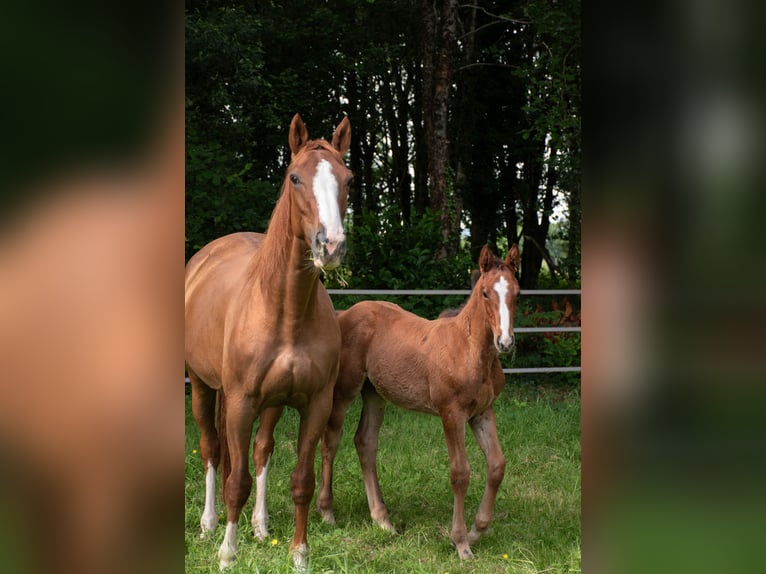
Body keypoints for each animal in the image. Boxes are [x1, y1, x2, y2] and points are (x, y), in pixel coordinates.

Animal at [185, 113, 351, 570]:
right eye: (294, 177)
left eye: (347, 178)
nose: (331, 245)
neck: (286, 311)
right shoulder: (240, 402)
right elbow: (235, 481)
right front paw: (227, 553)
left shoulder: (315, 404)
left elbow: (301, 480)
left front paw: (299, 554)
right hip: (204, 388)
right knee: (212, 449)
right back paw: (209, 524)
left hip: (273, 403)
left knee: (261, 450)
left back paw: (259, 526)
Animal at [317, 244, 520, 559]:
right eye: (486, 293)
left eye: (517, 292)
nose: (505, 343)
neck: (470, 348)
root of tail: (343, 314)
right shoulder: (452, 413)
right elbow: (460, 473)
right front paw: (461, 542)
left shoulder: (483, 412)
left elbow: (497, 465)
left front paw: (477, 531)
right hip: (344, 390)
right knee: (331, 441)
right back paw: (327, 512)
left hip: (374, 393)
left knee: (365, 442)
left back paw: (382, 519)